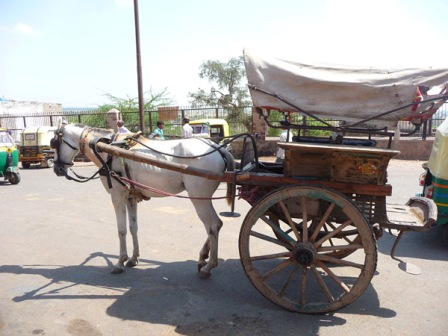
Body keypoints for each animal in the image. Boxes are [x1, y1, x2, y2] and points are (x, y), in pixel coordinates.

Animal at [51, 122, 236, 276]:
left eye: (54, 143)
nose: (57, 168)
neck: (107, 150)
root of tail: (217, 147)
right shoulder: (130, 197)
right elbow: (133, 227)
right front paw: (133, 258)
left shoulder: (117, 196)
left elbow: (121, 230)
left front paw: (120, 262)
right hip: (203, 197)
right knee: (217, 224)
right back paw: (203, 256)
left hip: (198, 197)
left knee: (212, 225)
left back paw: (209, 265)